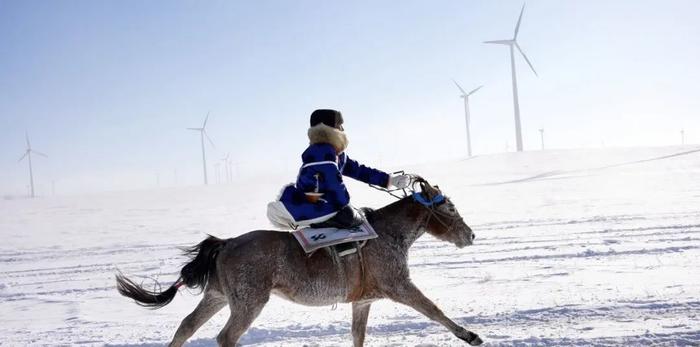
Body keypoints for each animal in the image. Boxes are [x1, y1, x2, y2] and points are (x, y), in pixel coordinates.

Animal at [117, 179, 484, 347]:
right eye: (450, 207)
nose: (471, 234)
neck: (388, 233)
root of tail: (225, 244)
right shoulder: (399, 285)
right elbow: (433, 309)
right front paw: (470, 335)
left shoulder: (362, 301)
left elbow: (358, 335)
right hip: (249, 302)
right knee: (226, 336)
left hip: (218, 296)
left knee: (187, 326)